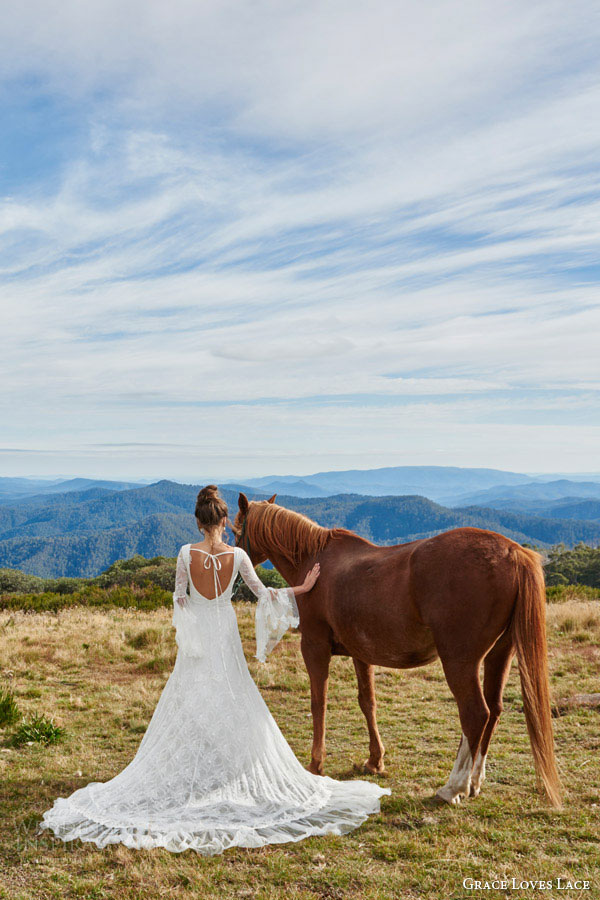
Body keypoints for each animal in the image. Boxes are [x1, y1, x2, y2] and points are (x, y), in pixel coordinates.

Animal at [232, 492, 560, 808]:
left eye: (236, 530)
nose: (235, 571)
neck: (315, 561)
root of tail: (512, 552)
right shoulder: (361, 655)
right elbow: (368, 702)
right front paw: (374, 760)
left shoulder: (314, 648)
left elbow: (318, 703)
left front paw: (315, 764)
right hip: (499, 656)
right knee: (493, 711)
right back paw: (474, 782)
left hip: (459, 662)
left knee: (475, 714)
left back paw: (452, 788)